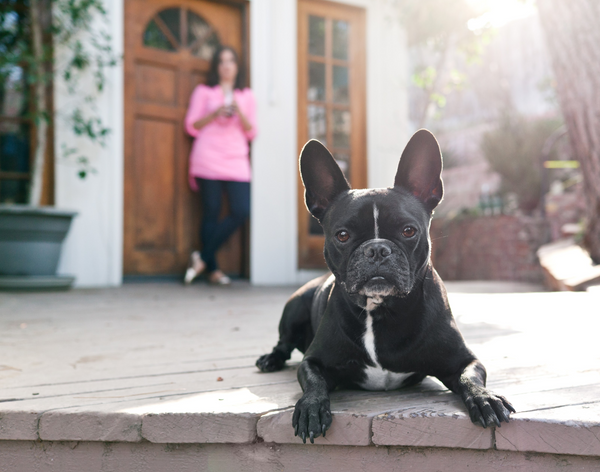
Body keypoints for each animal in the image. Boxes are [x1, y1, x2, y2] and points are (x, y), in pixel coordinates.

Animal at [255, 129, 512, 442]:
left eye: (409, 231)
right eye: (342, 235)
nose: (377, 249)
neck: (380, 309)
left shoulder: (463, 360)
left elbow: (470, 377)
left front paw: (485, 398)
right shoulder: (314, 361)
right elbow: (314, 382)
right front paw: (311, 408)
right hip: (294, 308)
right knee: (283, 343)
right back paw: (270, 359)